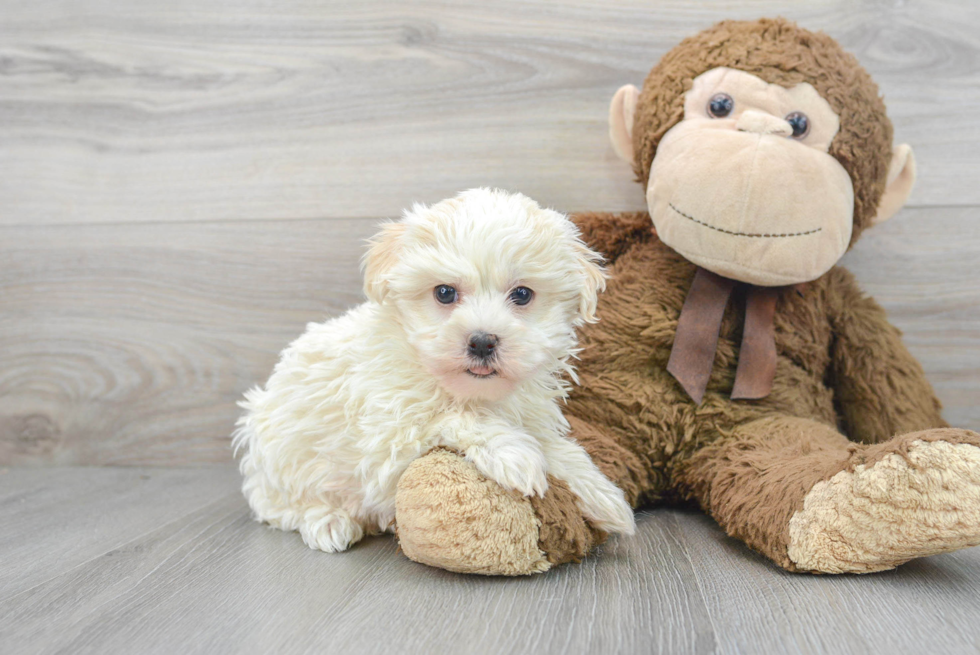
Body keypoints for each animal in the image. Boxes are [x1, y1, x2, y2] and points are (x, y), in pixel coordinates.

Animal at [235, 190, 636, 552]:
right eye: (444, 293)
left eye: (522, 295)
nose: (482, 342)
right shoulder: (387, 443)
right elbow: (455, 416)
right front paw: (514, 454)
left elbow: (557, 448)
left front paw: (600, 493)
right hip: (276, 463)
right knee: (277, 506)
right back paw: (328, 520)